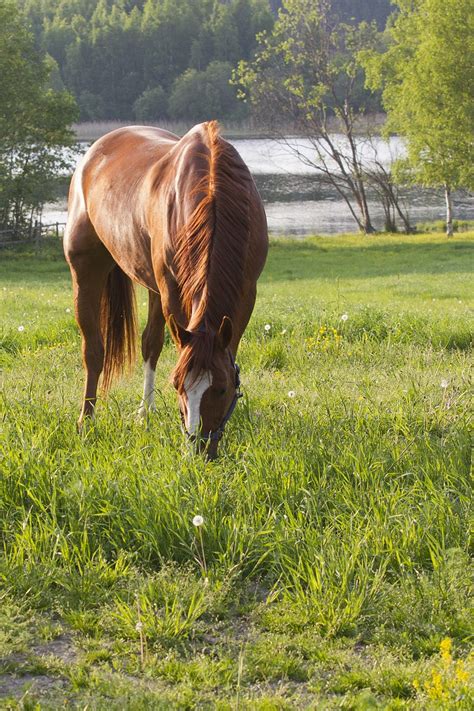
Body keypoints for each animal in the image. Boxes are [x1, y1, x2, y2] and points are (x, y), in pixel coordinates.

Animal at [64, 119, 266, 458]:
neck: (212, 190)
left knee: (150, 344)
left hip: (154, 288)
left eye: (222, 388)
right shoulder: (173, 290)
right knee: (94, 351)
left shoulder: (246, 293)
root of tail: (94, 153)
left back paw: (144, 412)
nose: (199, 450)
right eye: (177, 385)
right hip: (87, 271)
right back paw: (86, 421)